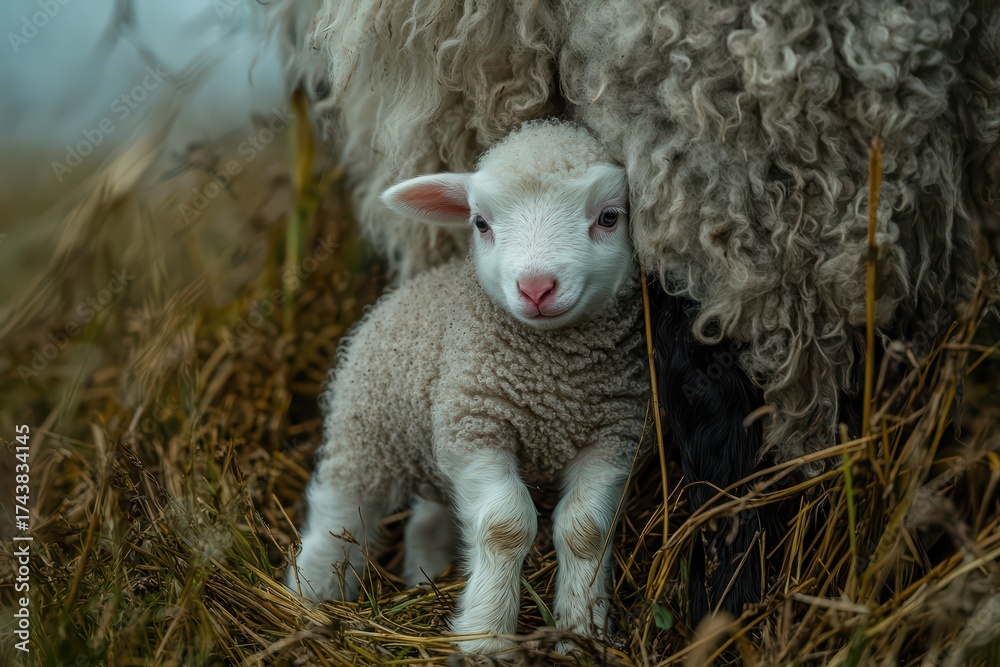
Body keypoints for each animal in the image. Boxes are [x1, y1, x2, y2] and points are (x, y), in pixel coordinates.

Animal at [286, 120, 650, 655]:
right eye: (480, 223)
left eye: (609, 217)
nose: (536, 288)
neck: (554, 382)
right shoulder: (474, 427)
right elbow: (504, 527)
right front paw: (487, 638)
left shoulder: (614, 435)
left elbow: (586, 530)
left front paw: (582, 633)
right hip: (364, 436)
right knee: (339, 517)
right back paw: (310, 596)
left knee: (429, 520)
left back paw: (425, 574)